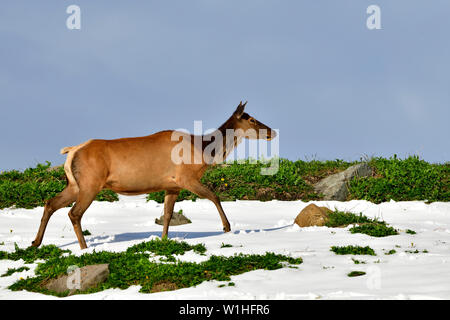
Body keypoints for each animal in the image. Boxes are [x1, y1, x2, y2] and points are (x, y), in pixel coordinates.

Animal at [30, 101, 274, 249]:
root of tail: (71, 151)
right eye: (251, 119)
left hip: (74, 184)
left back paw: (35, 242)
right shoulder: (185, 177)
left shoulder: (172, 185)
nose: (272, 131)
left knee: (51, 202)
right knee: (74, 213)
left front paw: (164, 240)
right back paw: (84, 248)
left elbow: (167, 215)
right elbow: (214, 196)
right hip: (91, 183)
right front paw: (227, 227)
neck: (205, 151)